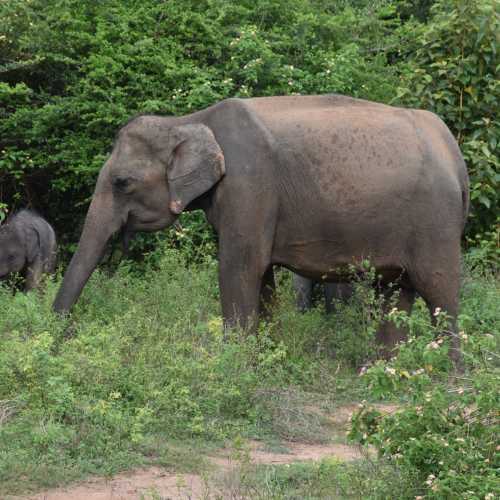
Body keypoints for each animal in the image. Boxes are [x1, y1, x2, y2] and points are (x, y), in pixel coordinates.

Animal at [54, 94, 468, 368]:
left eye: (122, 182)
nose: (64, 334)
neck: (189, 119)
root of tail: (453, 150)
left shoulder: (249, 186)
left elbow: (239, 268)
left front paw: (232, 366)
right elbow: (262, 275)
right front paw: (266, 360)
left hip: (436, 222)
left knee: (440, 291)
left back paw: (448, 379)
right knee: (393, 292)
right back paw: (384, 373)